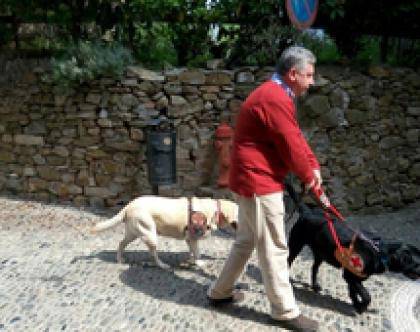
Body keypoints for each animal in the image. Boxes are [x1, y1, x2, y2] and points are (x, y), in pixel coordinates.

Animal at [90, 196, 238, 268]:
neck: (215, 211)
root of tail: (129, 205)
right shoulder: (193, 237)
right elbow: (197, 253)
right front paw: (199, 263)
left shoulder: (190, 239)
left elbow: (192, 251)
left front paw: (190, 261)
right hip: (150, 234)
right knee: (153, 254)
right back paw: (162, 265)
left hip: (133, 233)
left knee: (121, 243)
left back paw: (120, 259)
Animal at [286, 184, 420, 314]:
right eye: (417, 264)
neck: (379, 253)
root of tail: (307, 212)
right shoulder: (350, 276)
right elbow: (366, 296)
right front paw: (361, 306)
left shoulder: (353, 278)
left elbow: (353, 293)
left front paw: (357, 305)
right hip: (296, 245)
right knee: (288, 262)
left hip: (321, 253)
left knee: (314, 268)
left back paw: (315, 286)